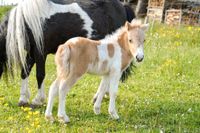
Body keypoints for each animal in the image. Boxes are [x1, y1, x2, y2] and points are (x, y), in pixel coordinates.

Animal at [0, 0, 135, 106]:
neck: (29, 20)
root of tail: (123, 6)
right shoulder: (32, 53)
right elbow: (24, 72)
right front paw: (23, 99)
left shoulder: (40, 53)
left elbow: (40, 75)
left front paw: (38, 100)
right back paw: (102, 95)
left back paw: (99, 97)